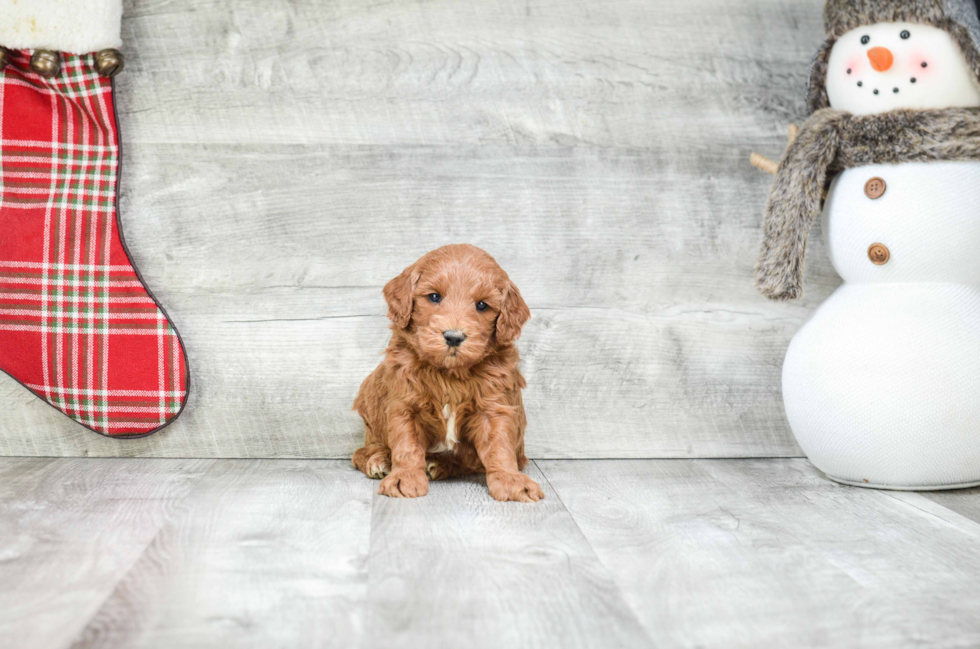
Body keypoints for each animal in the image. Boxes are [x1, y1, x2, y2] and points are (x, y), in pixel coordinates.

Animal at [352, 243, 544, 502]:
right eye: (434, 297)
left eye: (482, 305)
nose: (453, 337)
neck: (449, 374)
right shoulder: (404, 403)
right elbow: (406, 445)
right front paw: (405, 477)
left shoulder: (494, 406)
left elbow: (499, 446)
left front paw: (510, 480)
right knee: (360, 451)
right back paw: (379, 459)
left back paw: (439, 464)